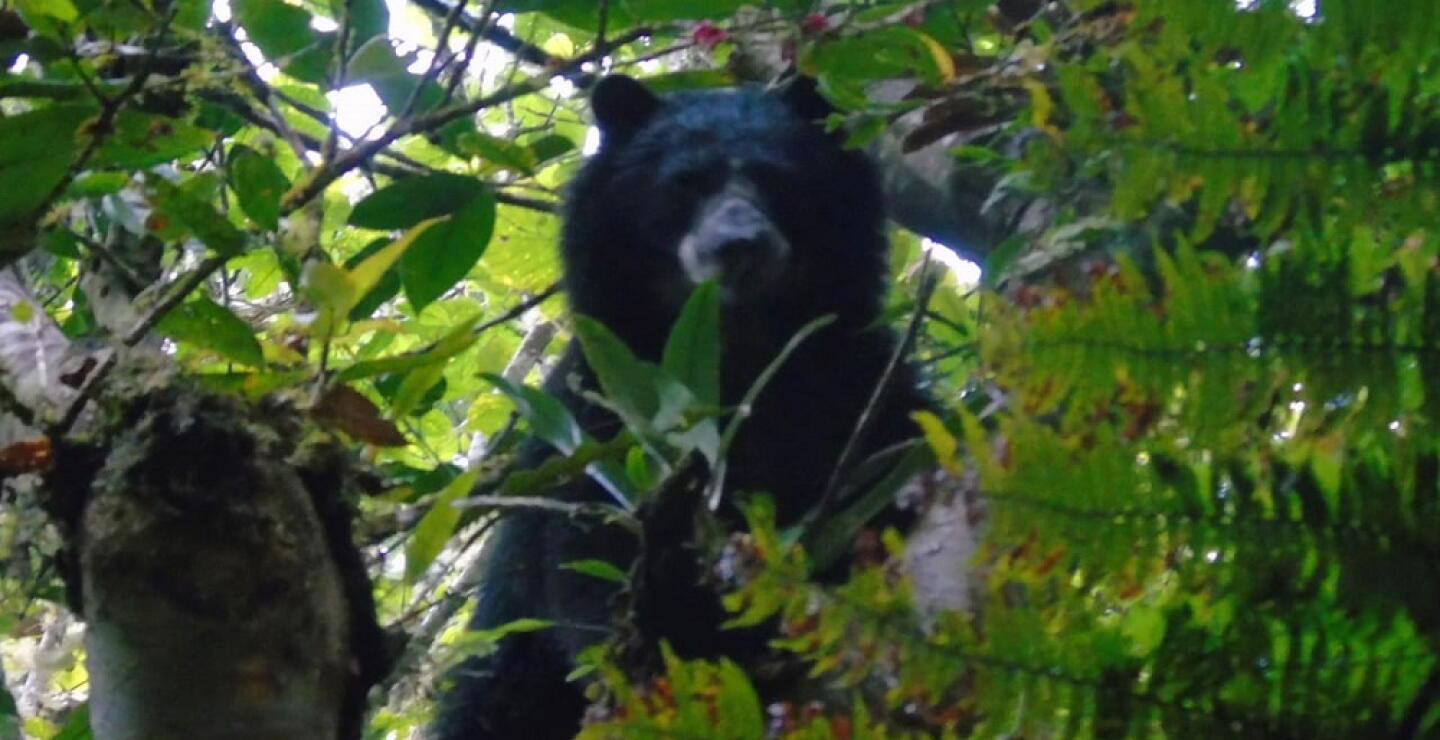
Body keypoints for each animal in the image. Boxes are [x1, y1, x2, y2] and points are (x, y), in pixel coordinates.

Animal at [431, 74, 927, 740]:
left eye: (778, 178)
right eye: (686, 181)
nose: (740, 244)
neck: (734, 354)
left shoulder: (856, 386)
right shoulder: (602, 421)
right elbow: (591, 555)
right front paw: (678, 639)